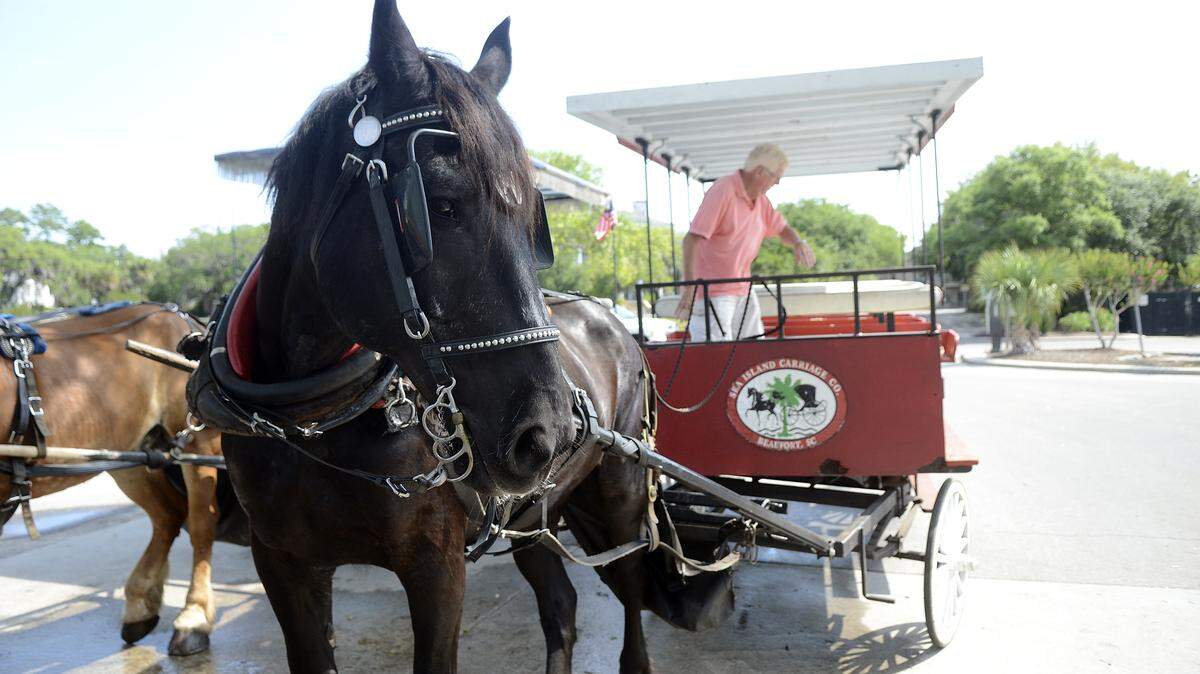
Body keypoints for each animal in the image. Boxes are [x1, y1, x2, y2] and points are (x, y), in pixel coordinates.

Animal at [0, 302, 232, 656]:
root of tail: (181, 316)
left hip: (197, 444)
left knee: (201, 524)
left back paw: (193, 617)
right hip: (129, 457)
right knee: (168, 516)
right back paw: (140, 605)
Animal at [213, 4, 730, 672]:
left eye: (534, 218)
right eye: (440, 205)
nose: (551, 431)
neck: (313, 420)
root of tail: (616, 323)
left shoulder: (436, 563)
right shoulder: (282, 563)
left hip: (618, 493)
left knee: (633, 587)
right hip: (536, 514)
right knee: (561, 606)